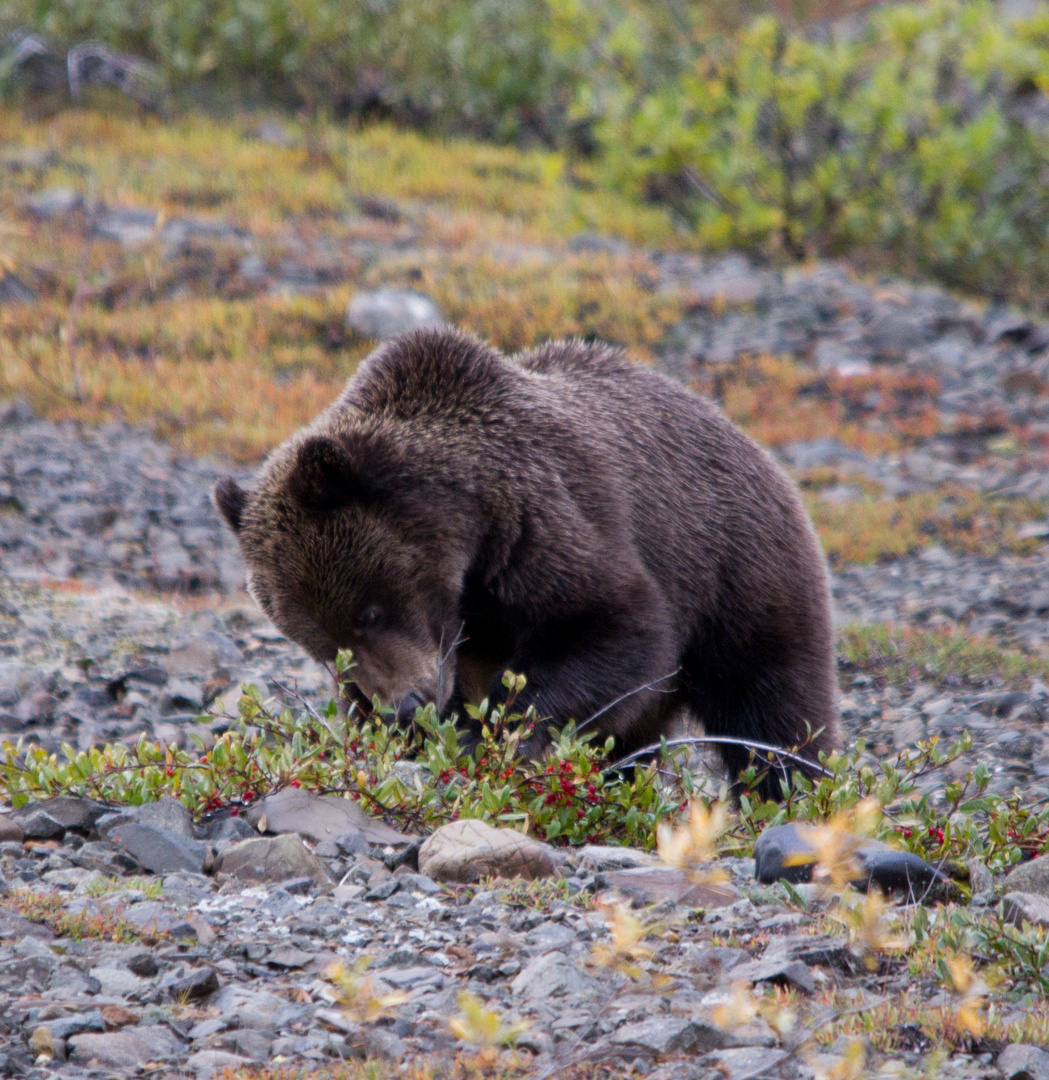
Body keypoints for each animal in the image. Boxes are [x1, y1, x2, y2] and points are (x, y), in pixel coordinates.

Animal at [212, 328, 838, 794]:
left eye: (369, 611)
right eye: (324, 648)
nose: (406, 707)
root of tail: (750, 443)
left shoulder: (543, 524)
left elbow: (616, 626)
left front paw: (496, 737)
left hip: (739, 573)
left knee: (774, 708)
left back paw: (793, 794)